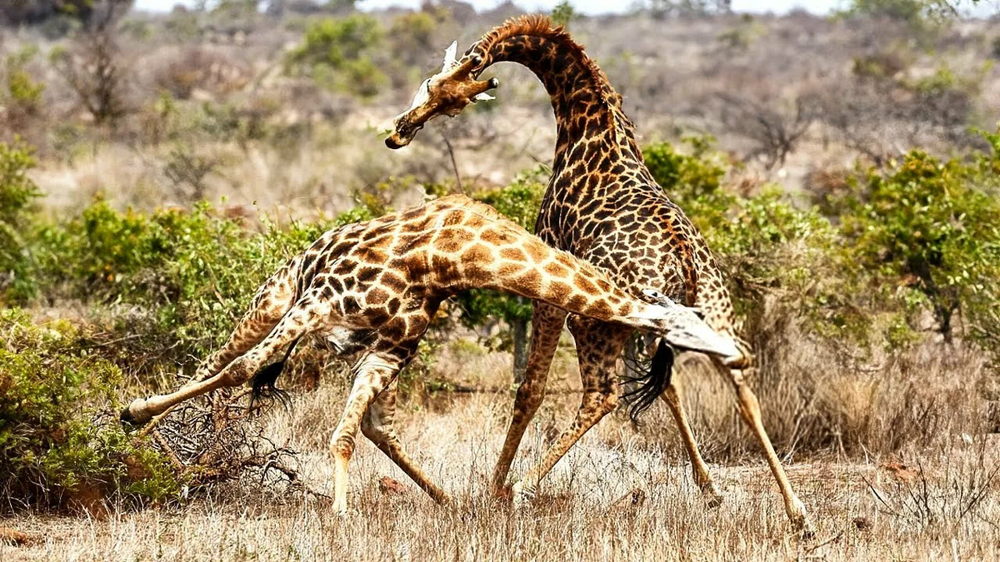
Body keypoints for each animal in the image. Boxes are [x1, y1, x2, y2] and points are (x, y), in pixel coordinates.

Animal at [121, 194, 739, 515]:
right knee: (219, 359)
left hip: (358, 345)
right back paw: (150, 431)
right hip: (276, 299)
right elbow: (241, 369)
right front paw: (138, 418)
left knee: (373, 426)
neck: (451, 257)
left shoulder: (390, 346)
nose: (735, 354)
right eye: (692, 326)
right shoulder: (319, 303)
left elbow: (347, 434)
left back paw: (446, 499)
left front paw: (341, 513)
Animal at [384, 16, 813, 534]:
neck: (589, 127)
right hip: (708, 315)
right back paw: (798, 514)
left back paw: (524, 487)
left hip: (594, 320)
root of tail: (687, 261)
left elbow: (530, 389)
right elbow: (669, 389)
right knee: (740, 383)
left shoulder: (548, 284)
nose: (399, 132)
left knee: (601, 396)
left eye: (440, 91)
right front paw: (710, 490)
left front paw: (494, 486)